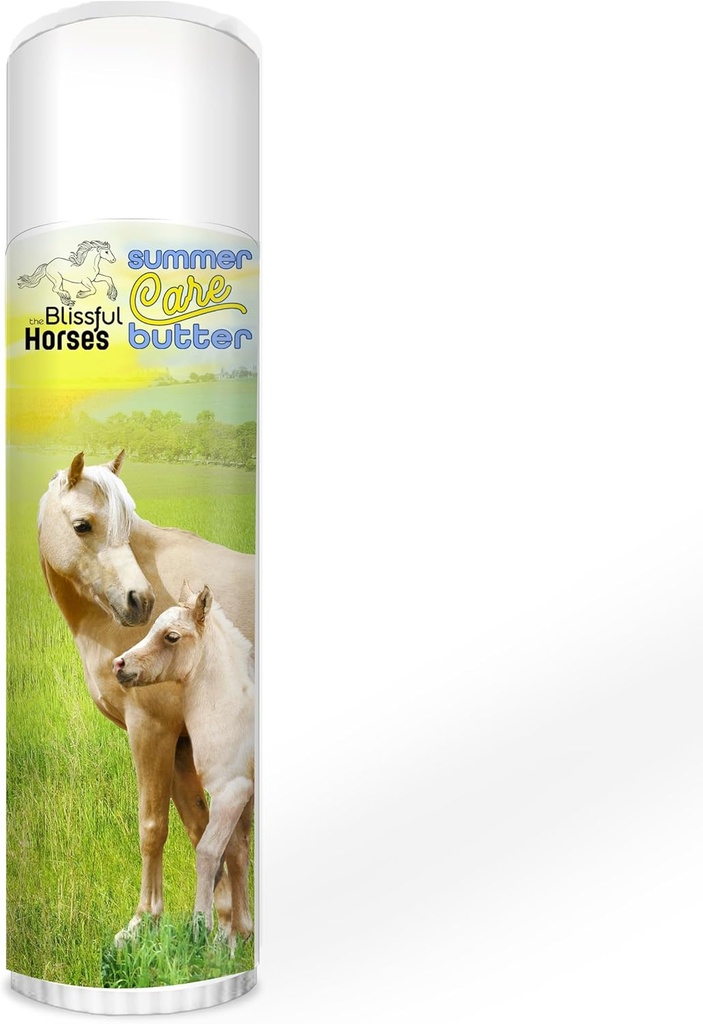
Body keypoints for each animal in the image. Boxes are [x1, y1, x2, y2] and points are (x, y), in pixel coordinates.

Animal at [114, 583, 255, 944]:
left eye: (172, 637)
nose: (119, 664)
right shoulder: (233, 794)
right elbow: (236, 852)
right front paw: (236, 934)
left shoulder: (232, 791)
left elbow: (208, 852)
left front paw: (203, 929)